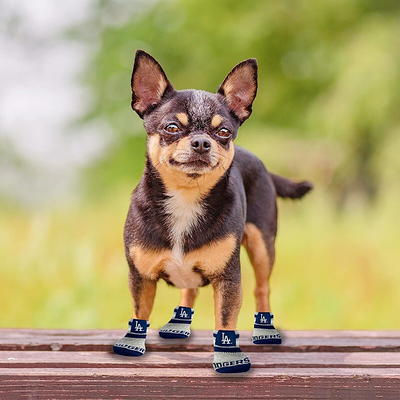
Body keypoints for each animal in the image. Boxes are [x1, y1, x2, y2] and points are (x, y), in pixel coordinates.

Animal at [112, 50, 312, 376]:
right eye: (171, 128)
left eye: (223, 132)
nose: (202, 142)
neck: (186, 198)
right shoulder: (141, 277)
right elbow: (140, 314)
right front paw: (132, 346)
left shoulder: (228, 280)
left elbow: (225, 322)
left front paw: (227, 358)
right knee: (189, 292)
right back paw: (179, 324)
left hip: (262, 246)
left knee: (262, 289)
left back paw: (265, 330)